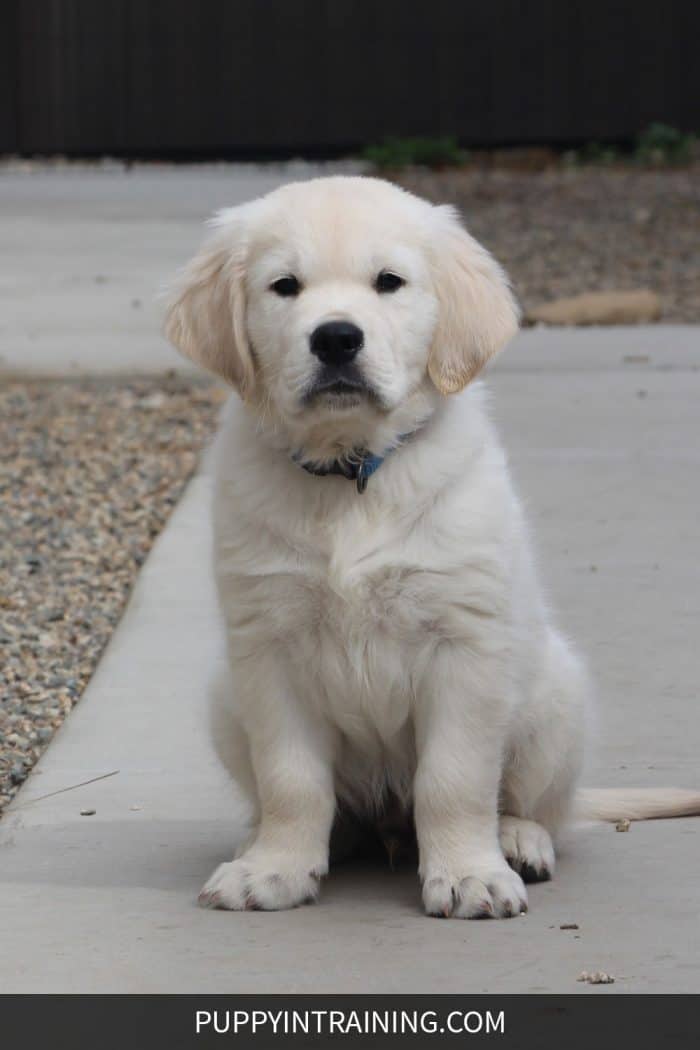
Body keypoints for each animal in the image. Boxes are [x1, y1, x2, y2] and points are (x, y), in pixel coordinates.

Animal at [165, 176, 700, 915]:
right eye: (284, 286)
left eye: (389, 282)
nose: (336, 338)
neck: (354, 476)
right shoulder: (266, 648)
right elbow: (291, 780)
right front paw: (274, 868)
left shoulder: (464, 646)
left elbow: (454, 779)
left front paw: (470, 874)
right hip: (225, 696)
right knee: (326, 807)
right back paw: (276, 841)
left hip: (557, 698)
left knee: (535, 806)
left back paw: (518, 841)